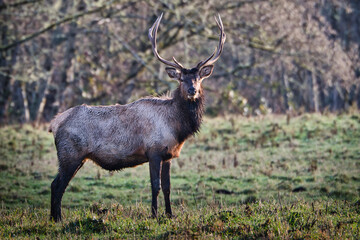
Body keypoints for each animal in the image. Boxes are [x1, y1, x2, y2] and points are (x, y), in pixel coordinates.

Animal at [49, 13, 226, 221]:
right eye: (181, 79)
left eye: (199, 78)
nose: (192, 90)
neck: (176, 128)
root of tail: (54, 123)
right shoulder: (153, 150)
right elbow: (155, 186)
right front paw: (154, 214)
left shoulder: (168, 155)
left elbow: (168, 187)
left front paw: (170, 214)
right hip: (70, 154)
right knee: (58, 185)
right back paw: (58, 218)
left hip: (74, 157)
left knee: (55, 184)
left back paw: (53, 218)